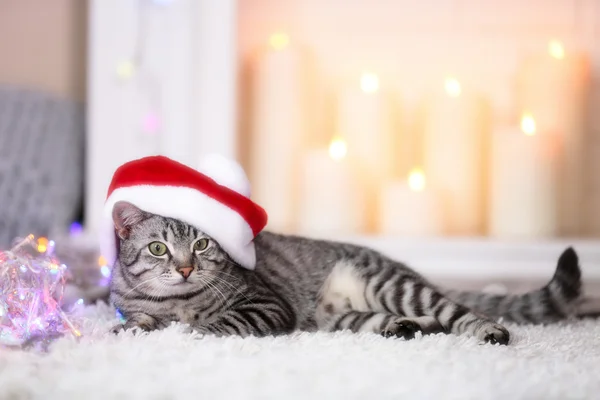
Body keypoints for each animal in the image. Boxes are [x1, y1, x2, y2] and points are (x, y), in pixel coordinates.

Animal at [109, 202, 592, 346]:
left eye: (202, 244)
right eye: (158, 248)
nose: (185, 267)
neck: (175, 301)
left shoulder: (266, 303)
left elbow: (219, 322)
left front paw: (192, 331)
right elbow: (138, 318)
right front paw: (132, 328)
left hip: (392, 286)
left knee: (459, 311)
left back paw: (488, 331)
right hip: (344, 318)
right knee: (416, 320)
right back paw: (406, 329)